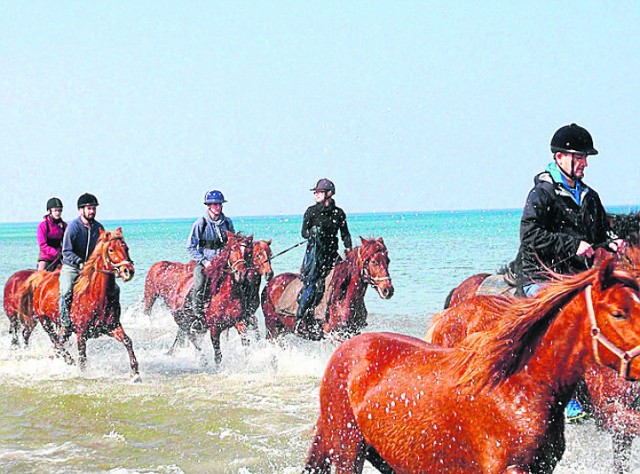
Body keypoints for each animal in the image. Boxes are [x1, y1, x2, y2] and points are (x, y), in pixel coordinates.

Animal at [18, 228, 139, 380]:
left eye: (126, 248)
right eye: (111, 250)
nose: (128, 271)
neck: (97, 296)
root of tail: (41, 278)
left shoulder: (112, 327)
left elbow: (128, 341)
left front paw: (135, 373)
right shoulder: (81, 333)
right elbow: (82, 358)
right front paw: (82, 373)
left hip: (64, 328)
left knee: (58, 343)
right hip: (45, 321)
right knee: (56, 342)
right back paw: (69, 361)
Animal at [144, 231, 254, 364]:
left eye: (249, 251)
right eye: (233, 249)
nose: (240, 273)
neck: (228, 295)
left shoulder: (239, 322)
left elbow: (246, 345)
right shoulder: (215, 328)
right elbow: (218, 356)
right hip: (182, 320)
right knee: (192, 339)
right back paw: (203, 360)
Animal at [262, 237, 396, 340]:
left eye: (388, 260)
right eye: (374, 262)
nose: (388, 290)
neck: (343, 299)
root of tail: (270, 284)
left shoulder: (353, 332)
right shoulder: (336, 334)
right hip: (272, 329)